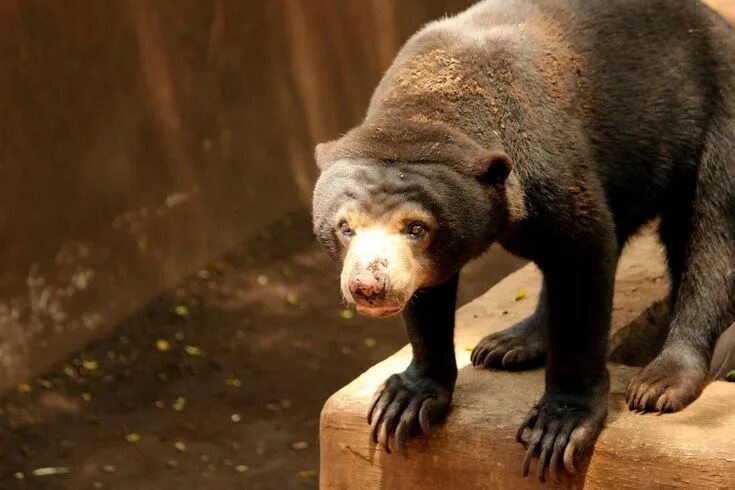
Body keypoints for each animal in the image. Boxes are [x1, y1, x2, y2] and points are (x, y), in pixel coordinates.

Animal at [310, 0, 735, 482]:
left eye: (416, 227)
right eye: (345, 227)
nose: (369, 286)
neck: (426, 107)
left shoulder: (547, 165)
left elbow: (584, 255)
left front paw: (558, 427)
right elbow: (430, 300)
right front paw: (405, 401)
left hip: (715, 119)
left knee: (707, 234)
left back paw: (660, 382)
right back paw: (508, 345)